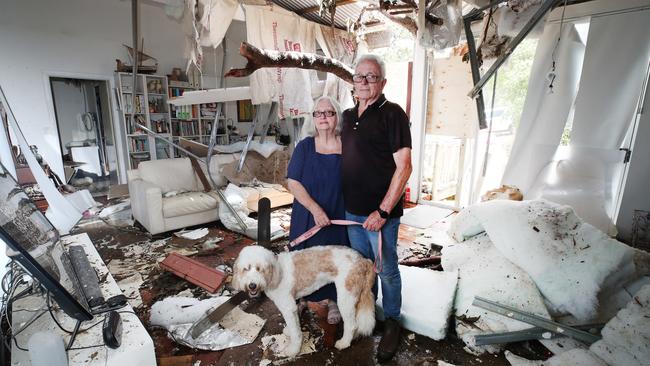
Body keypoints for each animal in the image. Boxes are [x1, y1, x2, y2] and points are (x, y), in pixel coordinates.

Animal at [232, 244, 374, 356]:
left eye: (259, 269)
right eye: (246, 269)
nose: (252, 285)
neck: (276, 272)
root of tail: (363, 260)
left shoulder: (287, 307)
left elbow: (296, 333)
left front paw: (293, 350)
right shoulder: (292, 308)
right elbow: (294, 325)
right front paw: (290, 331)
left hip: (345, 298)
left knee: (352, 324)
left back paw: (344, 343)